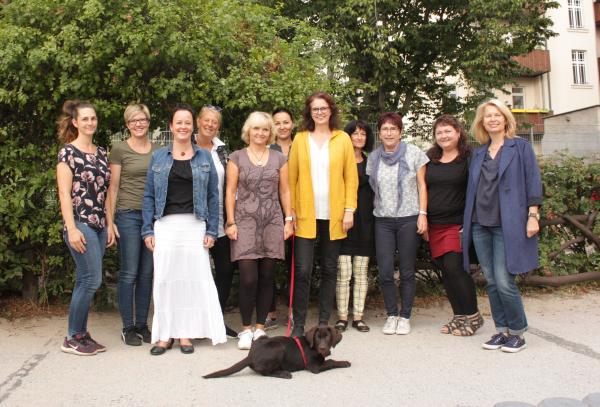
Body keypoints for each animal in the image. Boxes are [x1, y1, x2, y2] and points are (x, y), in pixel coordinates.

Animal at [203, 326, 350, 380]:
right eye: (317, 338)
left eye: (328, 337)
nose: (323, 348)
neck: (313, 347)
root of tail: (250, 355)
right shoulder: (315, 367)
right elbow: (331, 362)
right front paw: (345, 362)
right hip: (278, 348)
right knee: (265, 372)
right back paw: (284, 373)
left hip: (263, 338)